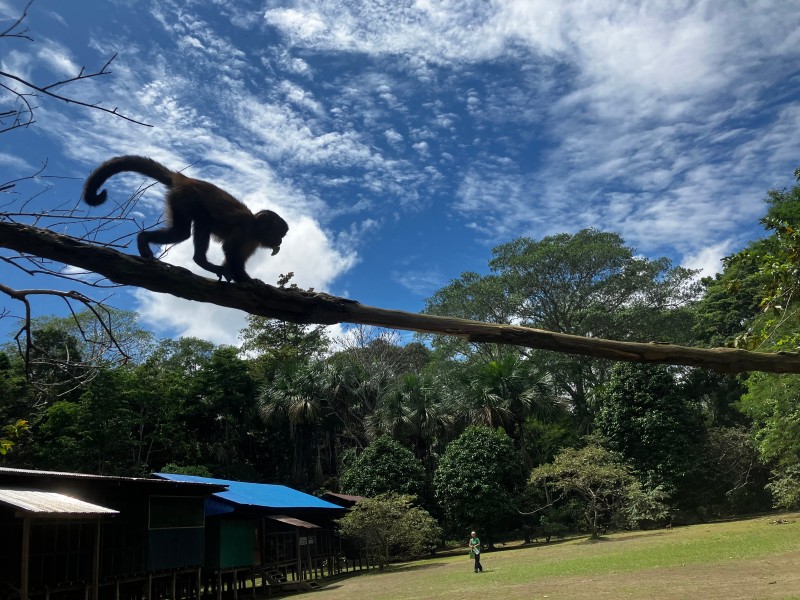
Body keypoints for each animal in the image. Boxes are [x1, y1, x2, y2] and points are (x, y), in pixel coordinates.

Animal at [82, 155, 288, 283]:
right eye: (280, 233)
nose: (280, 241)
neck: (255, 228)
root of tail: (183, 178)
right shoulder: (245, 230)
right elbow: (229, 250)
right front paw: (245, 279)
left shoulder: (253, 241)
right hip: (186, 197)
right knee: (196, 225)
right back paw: (199, 260)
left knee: (183, 231)